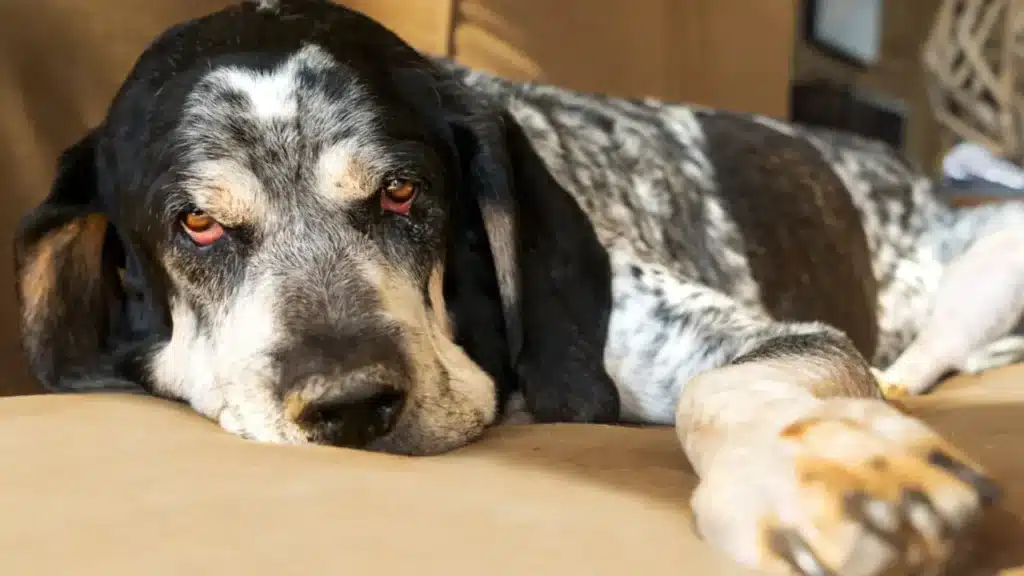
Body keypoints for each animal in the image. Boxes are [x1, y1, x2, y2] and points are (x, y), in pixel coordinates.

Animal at [14, 2, 1015, 569]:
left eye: (403, 191)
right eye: (198, 224)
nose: (351, 408)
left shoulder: (735, 336)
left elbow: (729, 386)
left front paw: (840, 471)